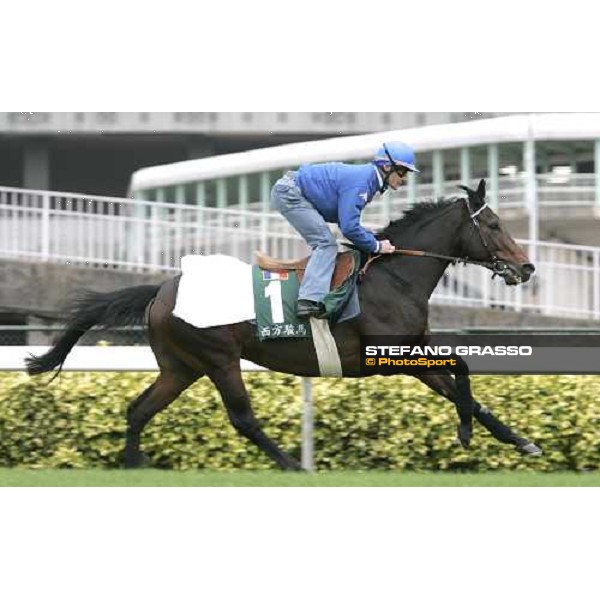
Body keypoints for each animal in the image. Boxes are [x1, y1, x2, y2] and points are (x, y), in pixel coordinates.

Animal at [25, 180, 540, 472]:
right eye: (494, 225)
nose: (528, 267)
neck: (394, 277)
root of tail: (162, 289)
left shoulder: (413, 352)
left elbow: (463, 386)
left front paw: (520, 441)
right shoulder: (387, 357)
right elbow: (463, 372)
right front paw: (467, 434)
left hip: (180, 365)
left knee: (138, 410)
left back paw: (134, 465)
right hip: (218, 357)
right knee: (242, 418)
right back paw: (292, 464)